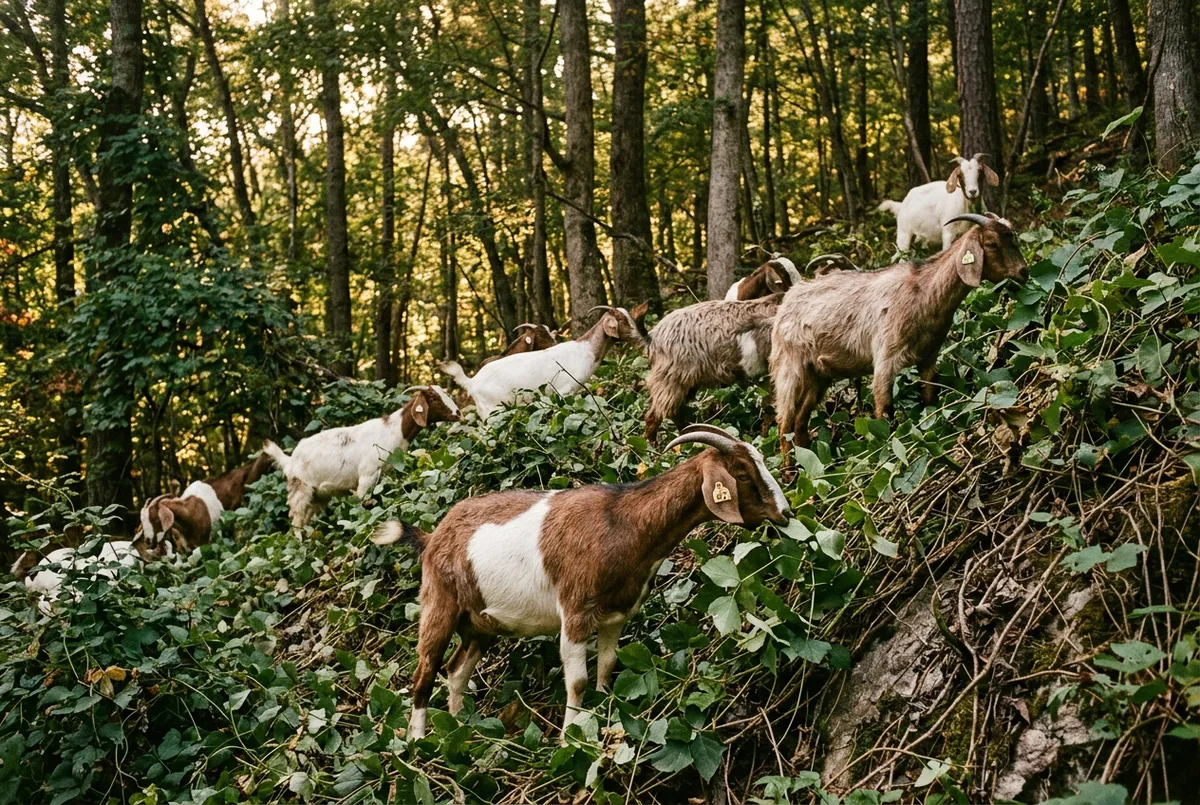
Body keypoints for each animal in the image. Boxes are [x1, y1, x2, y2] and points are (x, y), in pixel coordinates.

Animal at [133, 453, 274, 561]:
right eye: (142, 521)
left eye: (156, 519)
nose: (148, 540)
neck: (190, 514)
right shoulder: (185, 548)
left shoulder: (206, 544)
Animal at [263, 386, 460, 532]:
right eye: (434, 398)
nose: (457, 412)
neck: (394, 430)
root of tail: (290, 460)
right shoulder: (367, 476)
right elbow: (363, 506)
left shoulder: (386, 475)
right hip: (300, 491)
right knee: (296, 523)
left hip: (317, 496)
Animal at [371, 424, 791, 739]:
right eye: (741, 472)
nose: (785, 512)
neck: (622, 523)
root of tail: (433, 536)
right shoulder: (574, 613)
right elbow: (578, 682)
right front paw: (570, 739)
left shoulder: (616, 613)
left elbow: (607, 665)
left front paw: (606, 714)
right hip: (439, 604)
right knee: (425, 671)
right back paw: (419, 743)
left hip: (480, 624)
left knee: (456, 671)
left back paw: (460, 729)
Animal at [441, 305, 648, 420]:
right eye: (622, 321)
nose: (641, 339)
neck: (584, 350)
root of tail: (471, 382)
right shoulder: (563, 391)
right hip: (492, 410)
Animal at [770, 213, 1028, 465]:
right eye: (992, 243)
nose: (1023, 271)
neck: (924, 291)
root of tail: (786, 301)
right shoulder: (885, 359)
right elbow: (885, 412)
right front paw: (886, 453)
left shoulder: (928, 357)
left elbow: (929, 399)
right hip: (789, 369)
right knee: (784, 422)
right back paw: (789, 471)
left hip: (818, 375)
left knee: (800, 422)